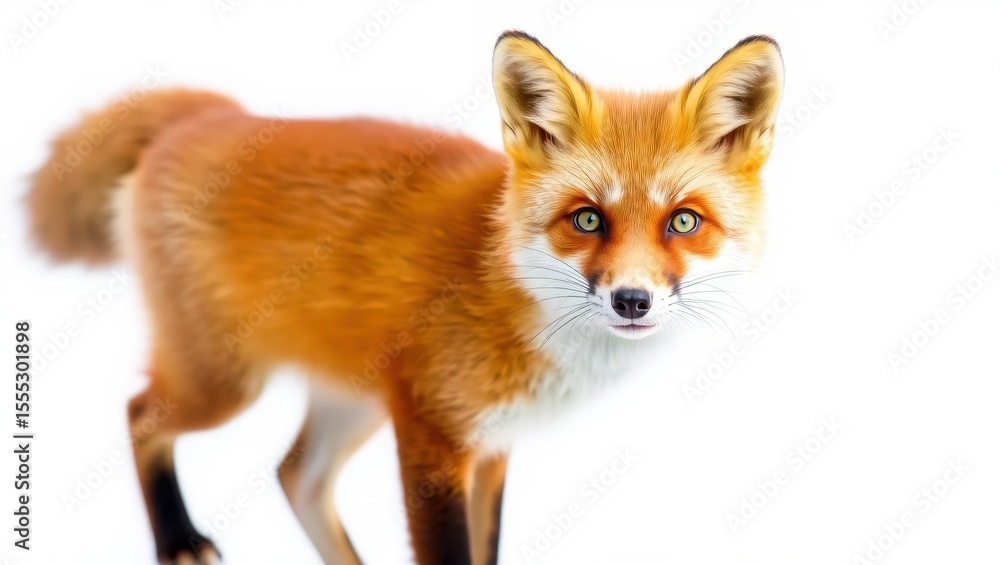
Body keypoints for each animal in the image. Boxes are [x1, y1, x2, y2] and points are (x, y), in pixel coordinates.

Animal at [27, 31, 783, 565]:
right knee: (140, 414)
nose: (632, 300)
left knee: (296, 476)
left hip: (352, 398)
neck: (506, 282)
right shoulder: (432, 435)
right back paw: (176, 541)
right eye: (588, 219)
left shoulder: (492, 445)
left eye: (682, 222)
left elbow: (485, 550)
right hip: (226, 383)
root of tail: (209, 113)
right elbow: (448, 554)